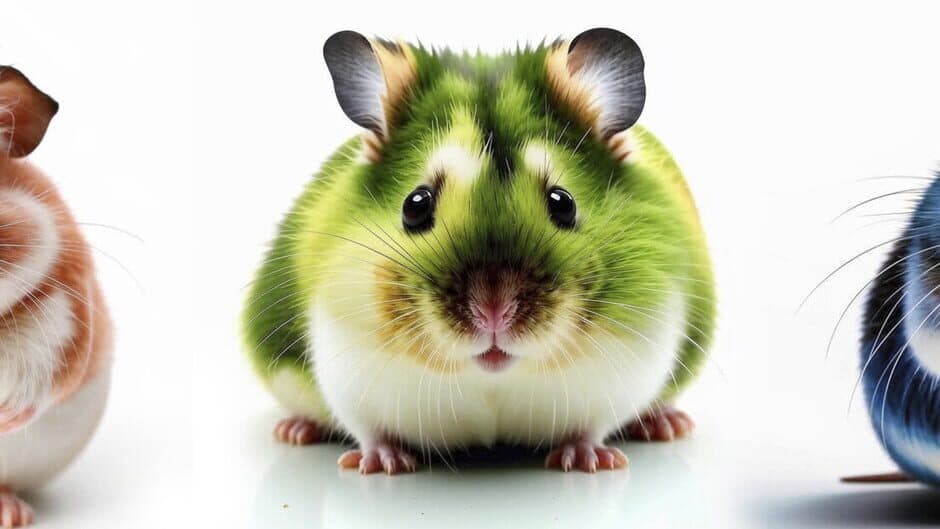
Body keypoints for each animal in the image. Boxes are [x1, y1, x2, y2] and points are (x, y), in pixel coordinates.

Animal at [243, 28, 716, 474]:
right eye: (415, 205)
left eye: (563, 203)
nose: (493, 314)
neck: (491, 376)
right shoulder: (347, 371)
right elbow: (369, 429)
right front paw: (379, 464)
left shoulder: (626, 371)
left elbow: (591, 427)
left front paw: (590, 461)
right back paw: (294, 431)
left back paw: (666, 424)